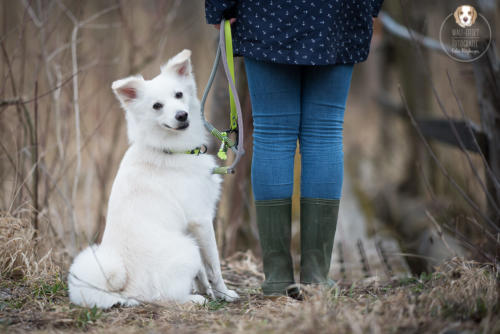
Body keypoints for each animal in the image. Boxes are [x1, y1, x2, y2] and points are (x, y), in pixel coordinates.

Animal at [68, 49, 238, 308]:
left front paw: (208, 289)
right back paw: (194, 299)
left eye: (179, 94)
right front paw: (224, 294)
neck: (170, 150)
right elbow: (213, 266)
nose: (182, 115)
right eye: (157, 106)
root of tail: (124, 291)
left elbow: (201, 272)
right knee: (164, 296)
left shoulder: (190, 227)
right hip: (186, 249)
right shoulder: (201, 220)